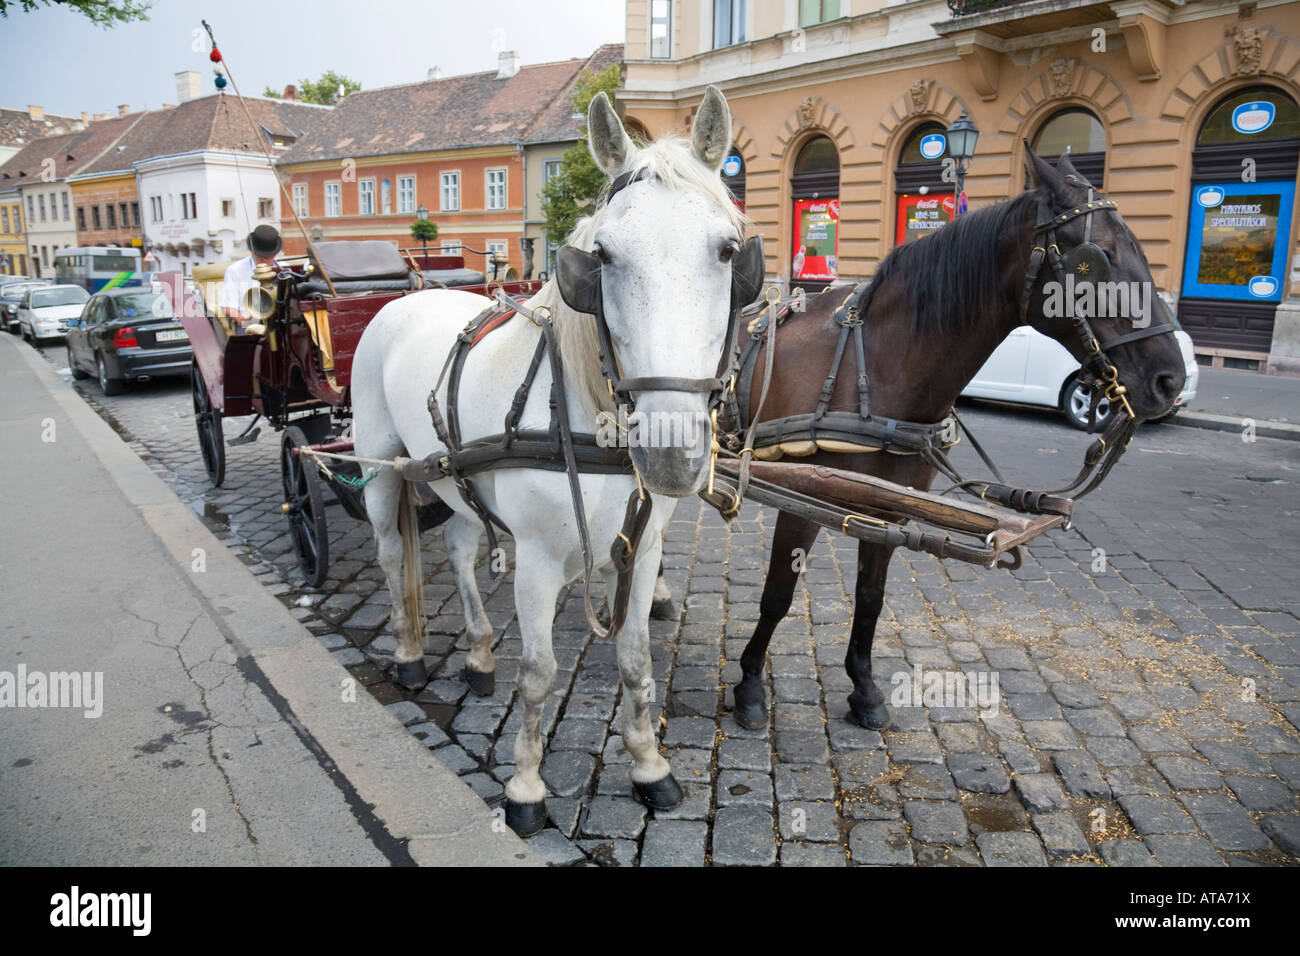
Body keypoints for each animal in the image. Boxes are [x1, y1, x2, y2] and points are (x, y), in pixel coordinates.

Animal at [351, 86, 760, 835]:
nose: (669, 451)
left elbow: (635, 660)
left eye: (727, 252)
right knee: (394, 554)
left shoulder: (642, 549)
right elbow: (539, 673)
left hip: (455, 477)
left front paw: (649, 765)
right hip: (382, 466)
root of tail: (411, 294)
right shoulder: (539, 561)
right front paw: (527, 787)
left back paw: (480, 652)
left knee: (459, 548)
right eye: (601, 256)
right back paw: (411, 652)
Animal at [706, 149, 1188, 733]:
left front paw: (864, 688)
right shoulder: (801, 495)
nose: (1170, 379)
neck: (877, 362)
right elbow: (778, 593)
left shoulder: (888, 505)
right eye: (1100, 259)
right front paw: (751, 683)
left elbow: (871, 597)